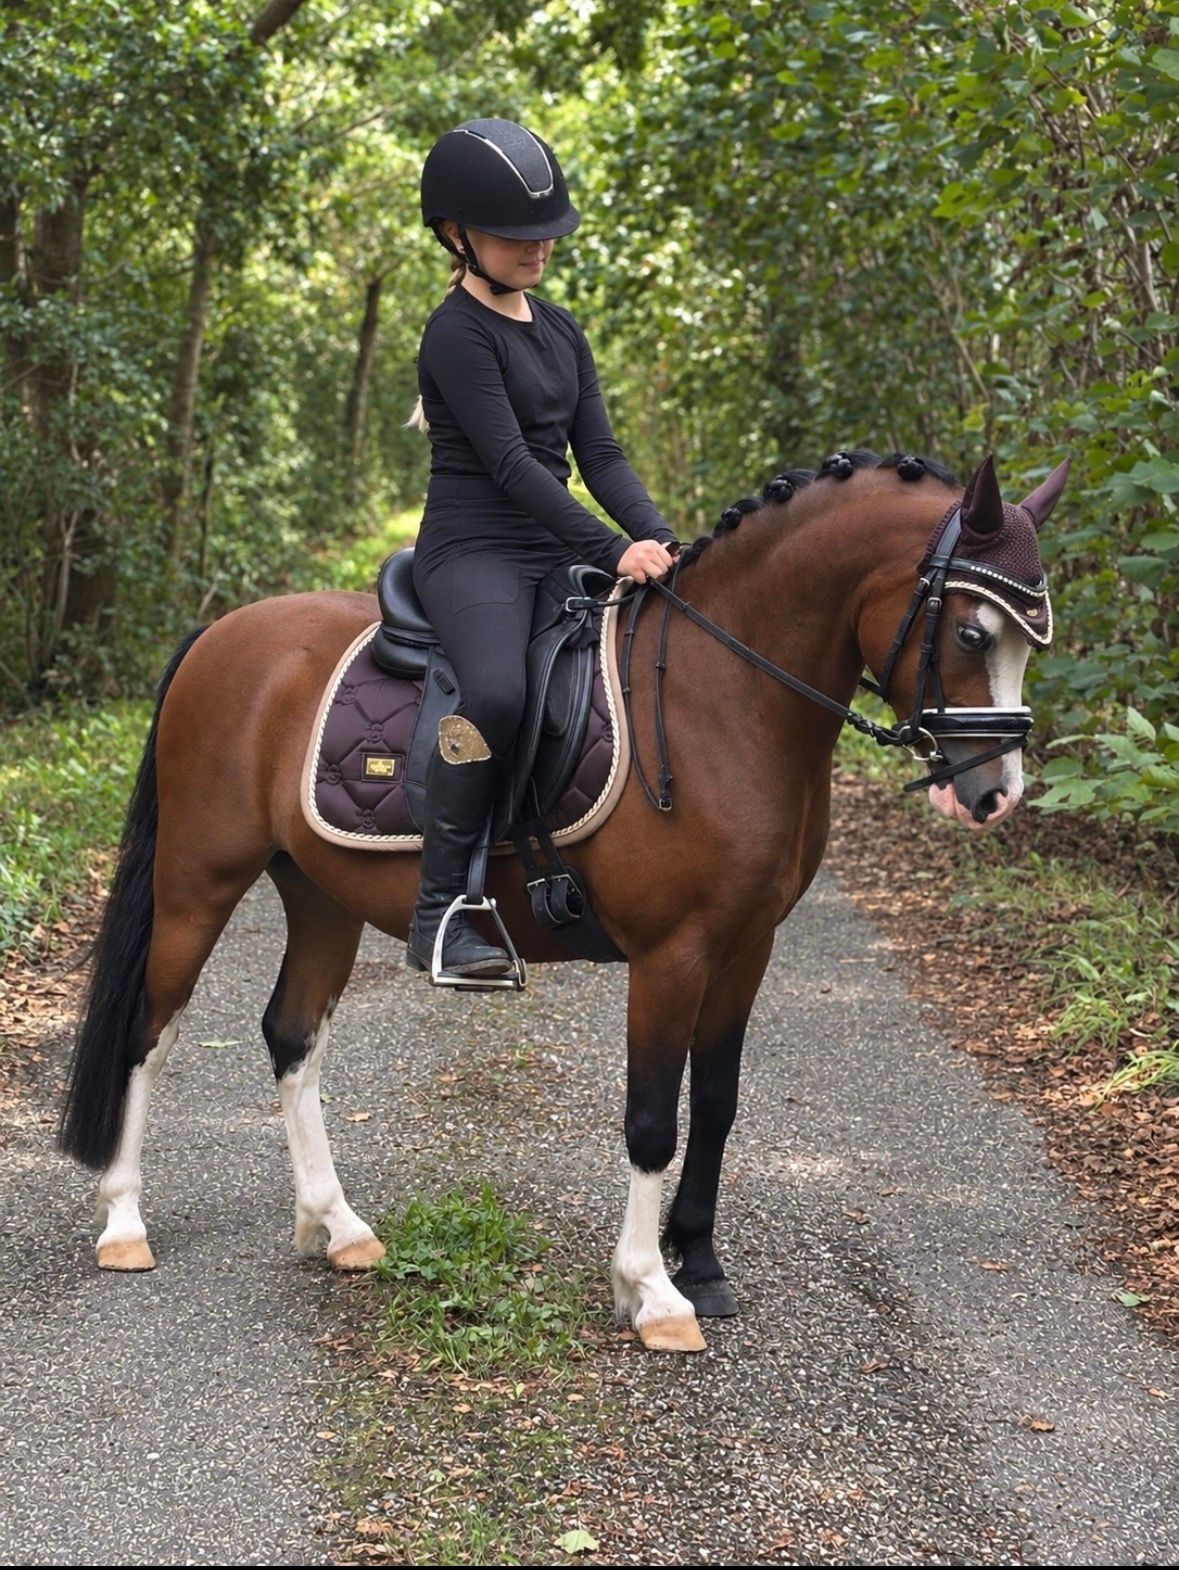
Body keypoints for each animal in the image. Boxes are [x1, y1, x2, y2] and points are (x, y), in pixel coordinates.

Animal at [58, 448, 1068, 1353]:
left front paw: (701, 1263)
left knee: (291, 1035)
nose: (993, 794)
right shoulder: (671, 953)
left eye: (1030, 640)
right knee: (149, 1031)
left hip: (318, 894)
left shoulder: (747, 947)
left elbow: (718, 1102)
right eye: (971, 633)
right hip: (198, 881)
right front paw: (652, 1292)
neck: (722, 697)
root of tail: (222, 634)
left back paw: (336, 1226)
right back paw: (124, 1223)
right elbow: (652, 1117)